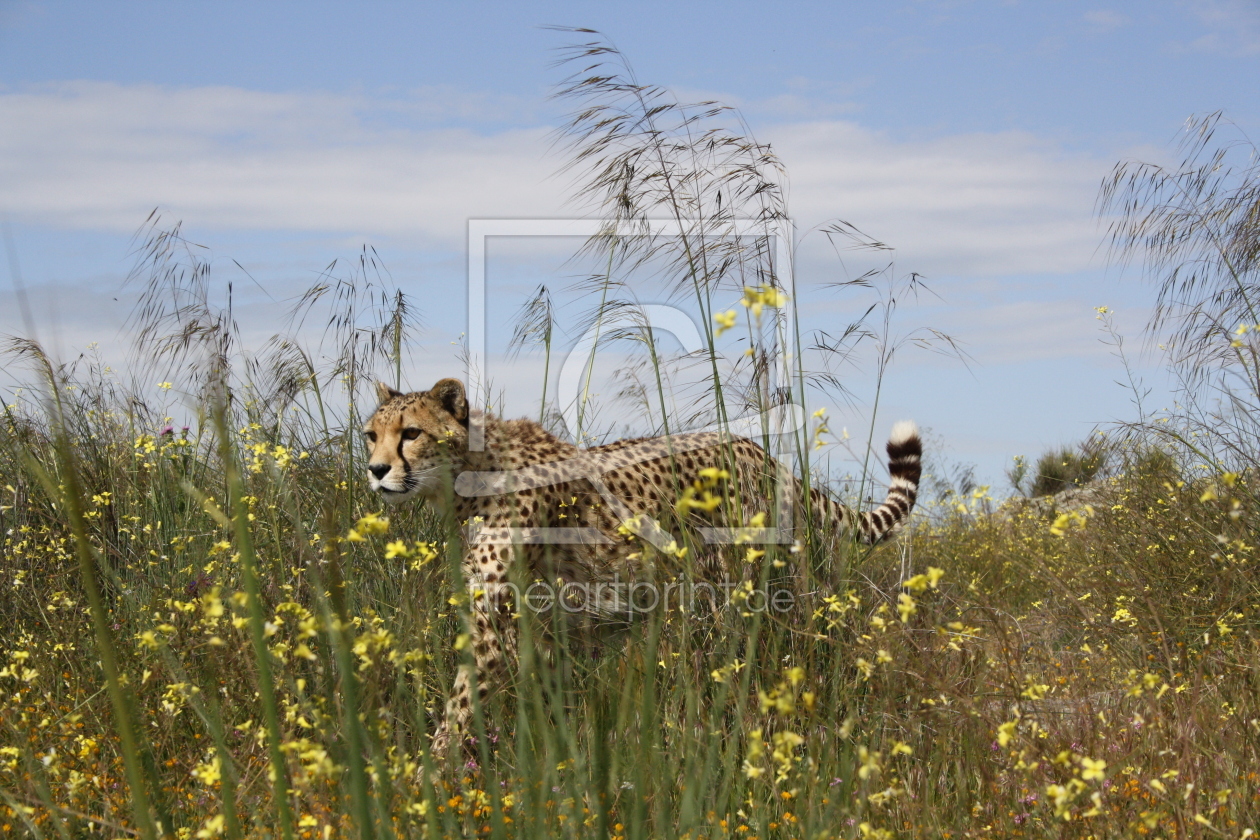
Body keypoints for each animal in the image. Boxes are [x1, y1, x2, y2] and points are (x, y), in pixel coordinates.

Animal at [362, 377, 922, 757]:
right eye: (371, 434)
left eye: (410, 433)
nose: (375, 470)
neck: (470, 475)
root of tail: (757, 449)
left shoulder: (494, 632)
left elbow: (459, 709)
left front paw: (427, 778)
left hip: (731, 587)